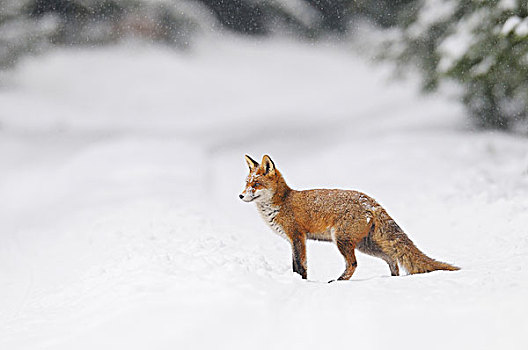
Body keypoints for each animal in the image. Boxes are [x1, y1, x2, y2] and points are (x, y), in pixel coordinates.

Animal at [239, 154, 458, 280]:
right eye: (246, 183)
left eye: (255, 185)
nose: (240, 196)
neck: (282, 202)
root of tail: (370, 201)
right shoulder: (292, 240)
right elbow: (295, 265)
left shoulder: (297, 236)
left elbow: (301, 266)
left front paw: (302, 283)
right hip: (366, 245)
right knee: (392, 258)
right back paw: (392, 279)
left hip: (343, 241)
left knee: (354, 264)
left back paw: (338, 282)